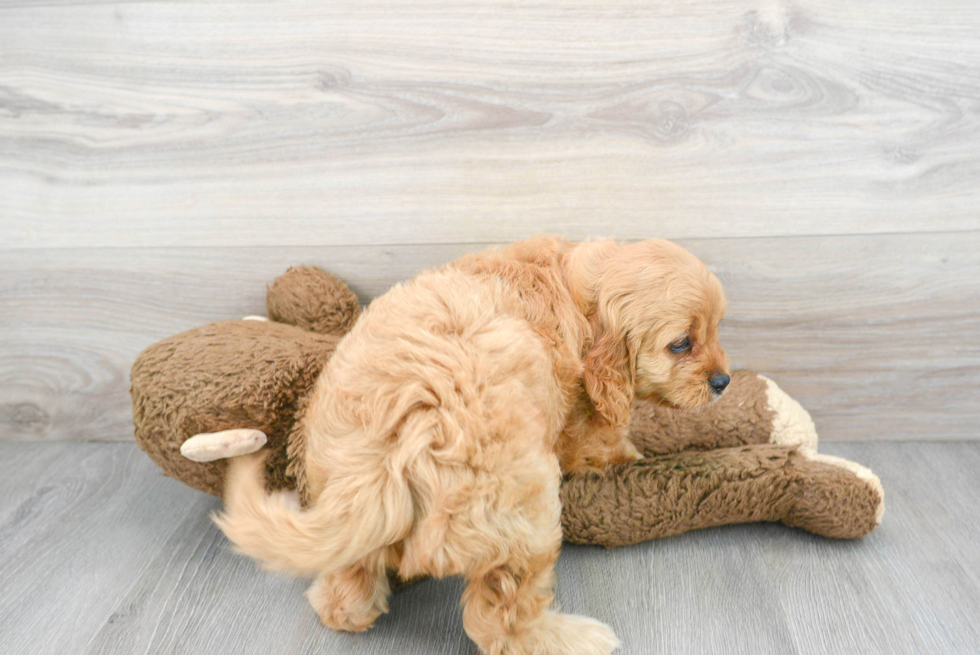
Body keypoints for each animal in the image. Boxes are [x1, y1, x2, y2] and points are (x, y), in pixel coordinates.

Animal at [214, 237, 728, 655]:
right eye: (681, 344)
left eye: (717, 328)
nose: (723, 381)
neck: (573, 286)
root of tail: (393, 448)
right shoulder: (586, 423)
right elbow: (612, 445)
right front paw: (646, 449)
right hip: (528, 518)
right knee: (499, 623)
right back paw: (573, 638)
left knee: (344, 586)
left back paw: (352, 605)